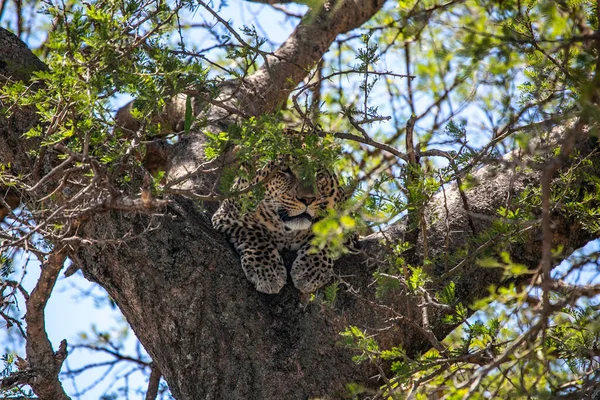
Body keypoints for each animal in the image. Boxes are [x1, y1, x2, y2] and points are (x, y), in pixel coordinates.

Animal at [213, 159, 346, 294]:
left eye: (318, 173)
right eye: (284, 169)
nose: (308, 199)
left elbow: (328, 236)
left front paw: (310, 272)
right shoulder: (227, 215)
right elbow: (254, 234)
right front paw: (268, 271)